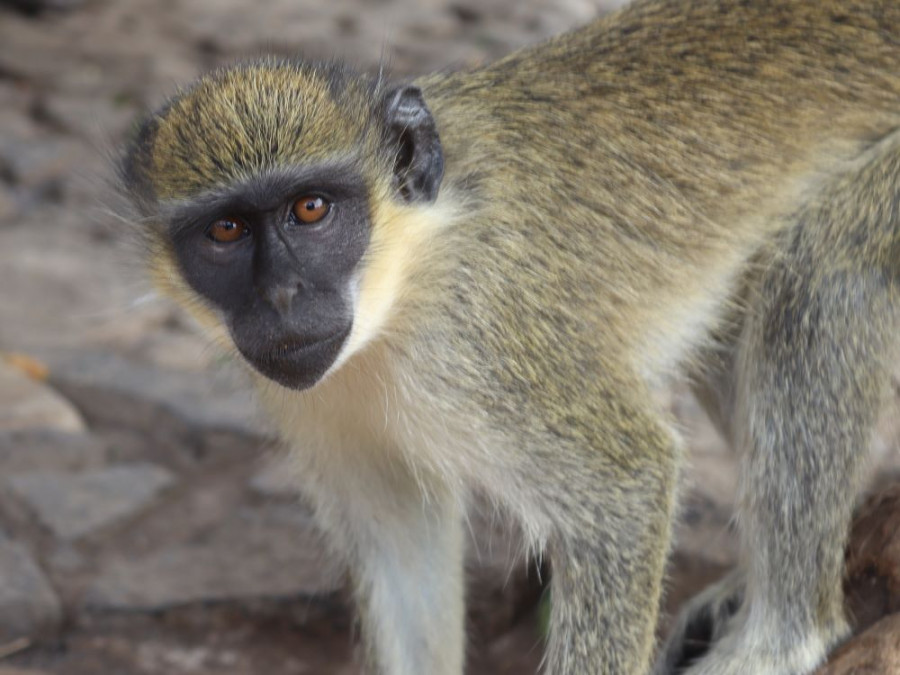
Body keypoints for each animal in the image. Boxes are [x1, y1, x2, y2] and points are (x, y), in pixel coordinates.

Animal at [119, 0, 900, 672]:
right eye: (226, 231)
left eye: (312, 209)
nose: (281, 297)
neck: (404, 278)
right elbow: (402, 552)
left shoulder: (484, 340)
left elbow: (627, 485)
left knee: (822, 271)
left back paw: (782, 636)